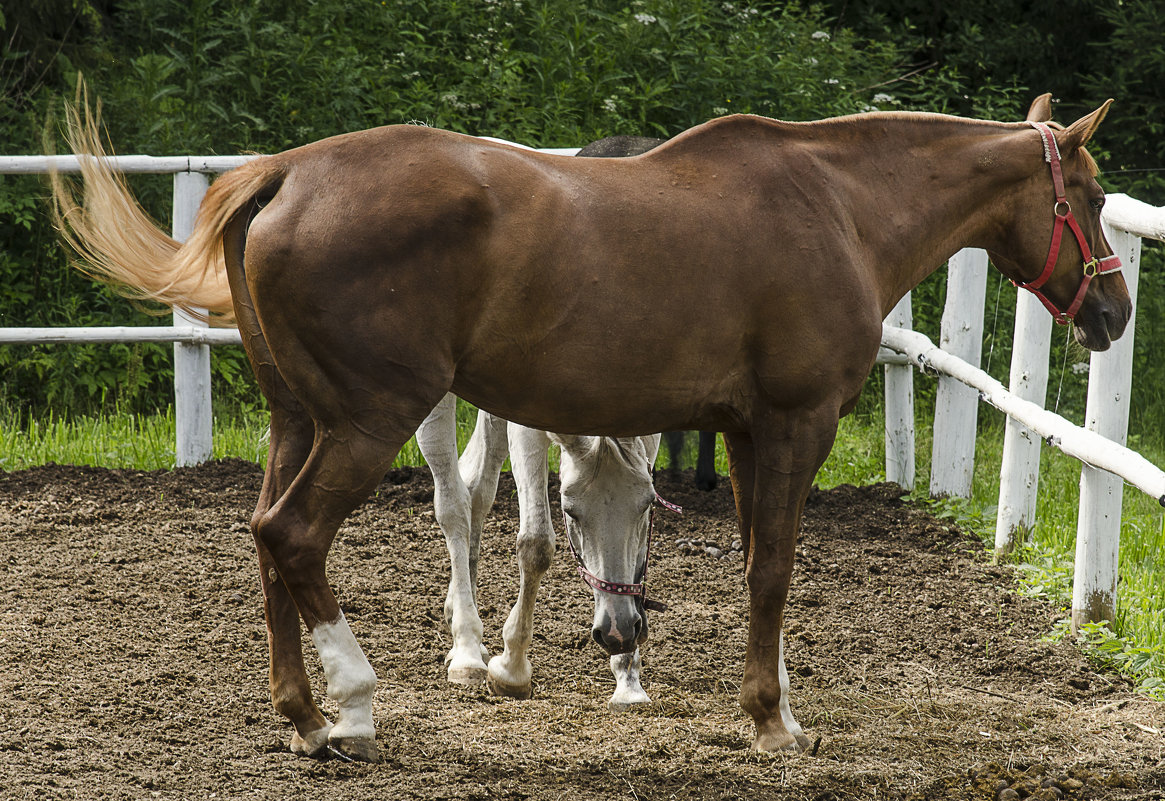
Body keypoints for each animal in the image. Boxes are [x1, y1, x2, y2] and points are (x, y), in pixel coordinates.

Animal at [417, 391, 666, 712]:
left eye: (648, 503)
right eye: (570, 512)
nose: (617, 631)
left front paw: (628, 678)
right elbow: (536, 544)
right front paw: (512, 669)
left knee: (477, 488)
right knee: (453, 501)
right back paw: (467, 651)